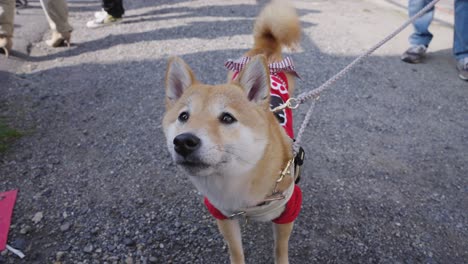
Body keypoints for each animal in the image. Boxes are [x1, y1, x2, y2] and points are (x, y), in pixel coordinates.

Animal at [163, 1, 302, 262]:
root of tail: (265, 48)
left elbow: (281, 248)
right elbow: (236, 250)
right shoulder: (223, 215)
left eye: (227, 118)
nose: (184, 141)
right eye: (184, 117)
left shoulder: (288, 210)